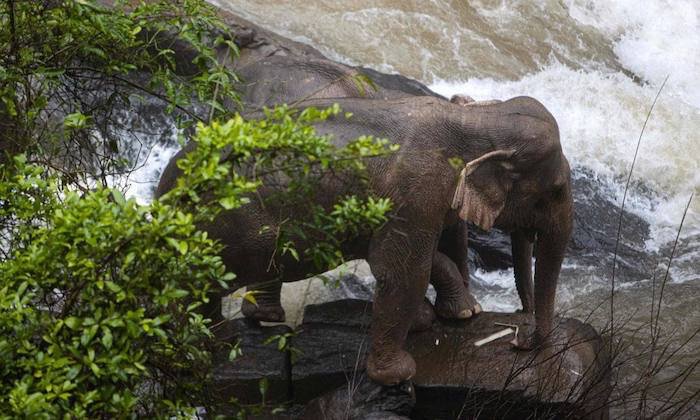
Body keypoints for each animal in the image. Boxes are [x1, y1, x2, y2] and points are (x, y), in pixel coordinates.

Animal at [159, 94, 576, 384]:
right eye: (556, 190)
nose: (517, 339)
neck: (476, 119)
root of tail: (167, 184)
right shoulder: (415, 193)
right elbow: (402, 271)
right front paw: (399, 374)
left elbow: (416, 259)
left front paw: (450, 315)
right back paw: (209, 347)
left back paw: (247, 327)